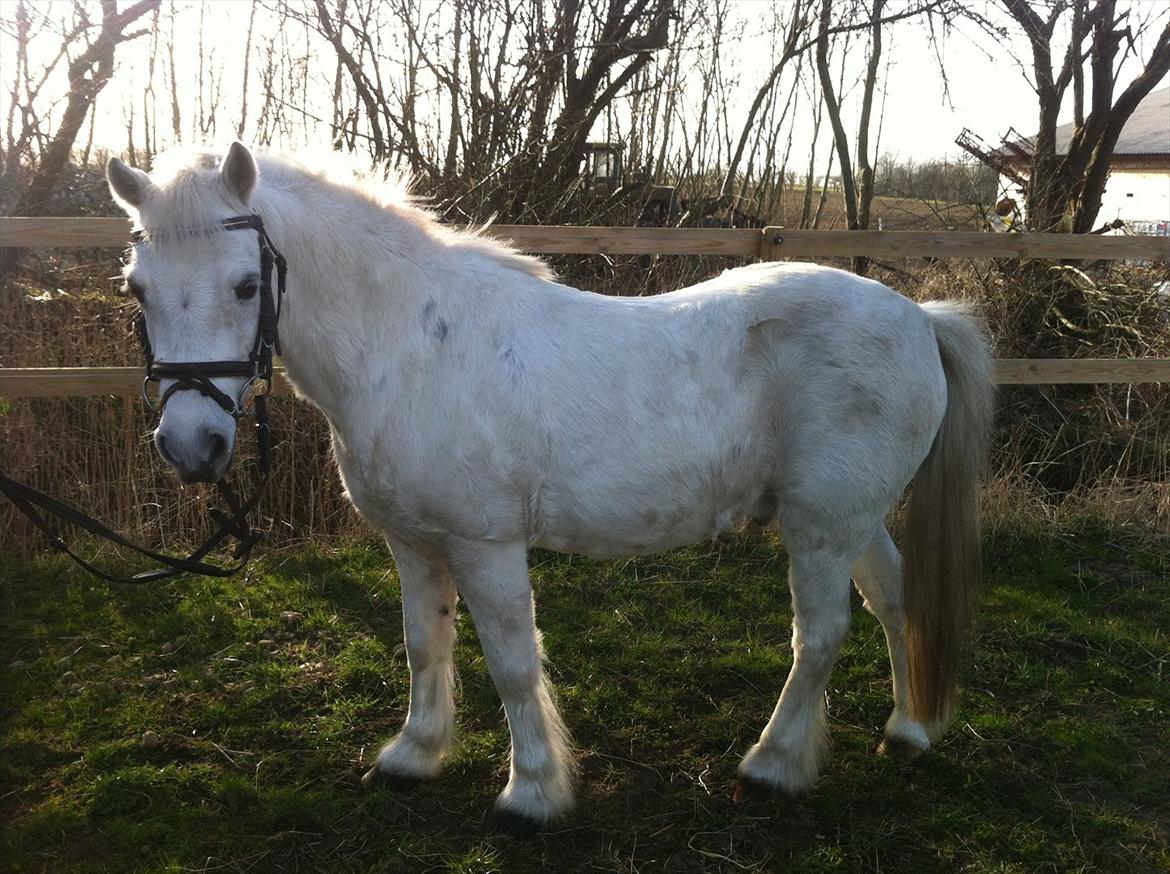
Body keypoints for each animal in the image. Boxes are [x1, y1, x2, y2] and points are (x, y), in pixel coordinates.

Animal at [105, 143, 992, 833]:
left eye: (245, 285)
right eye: (136, 289)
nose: (192, 445)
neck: (410, 345)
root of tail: (919, 318)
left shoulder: (484, 544)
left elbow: (511, 661)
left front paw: (531, 792)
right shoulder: (412, 542)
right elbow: (424, 643)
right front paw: (414, 754)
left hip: (820, 525)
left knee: (822, 635)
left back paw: (773, 764)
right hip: (851, 518)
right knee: (894, 597)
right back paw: (907, 728)